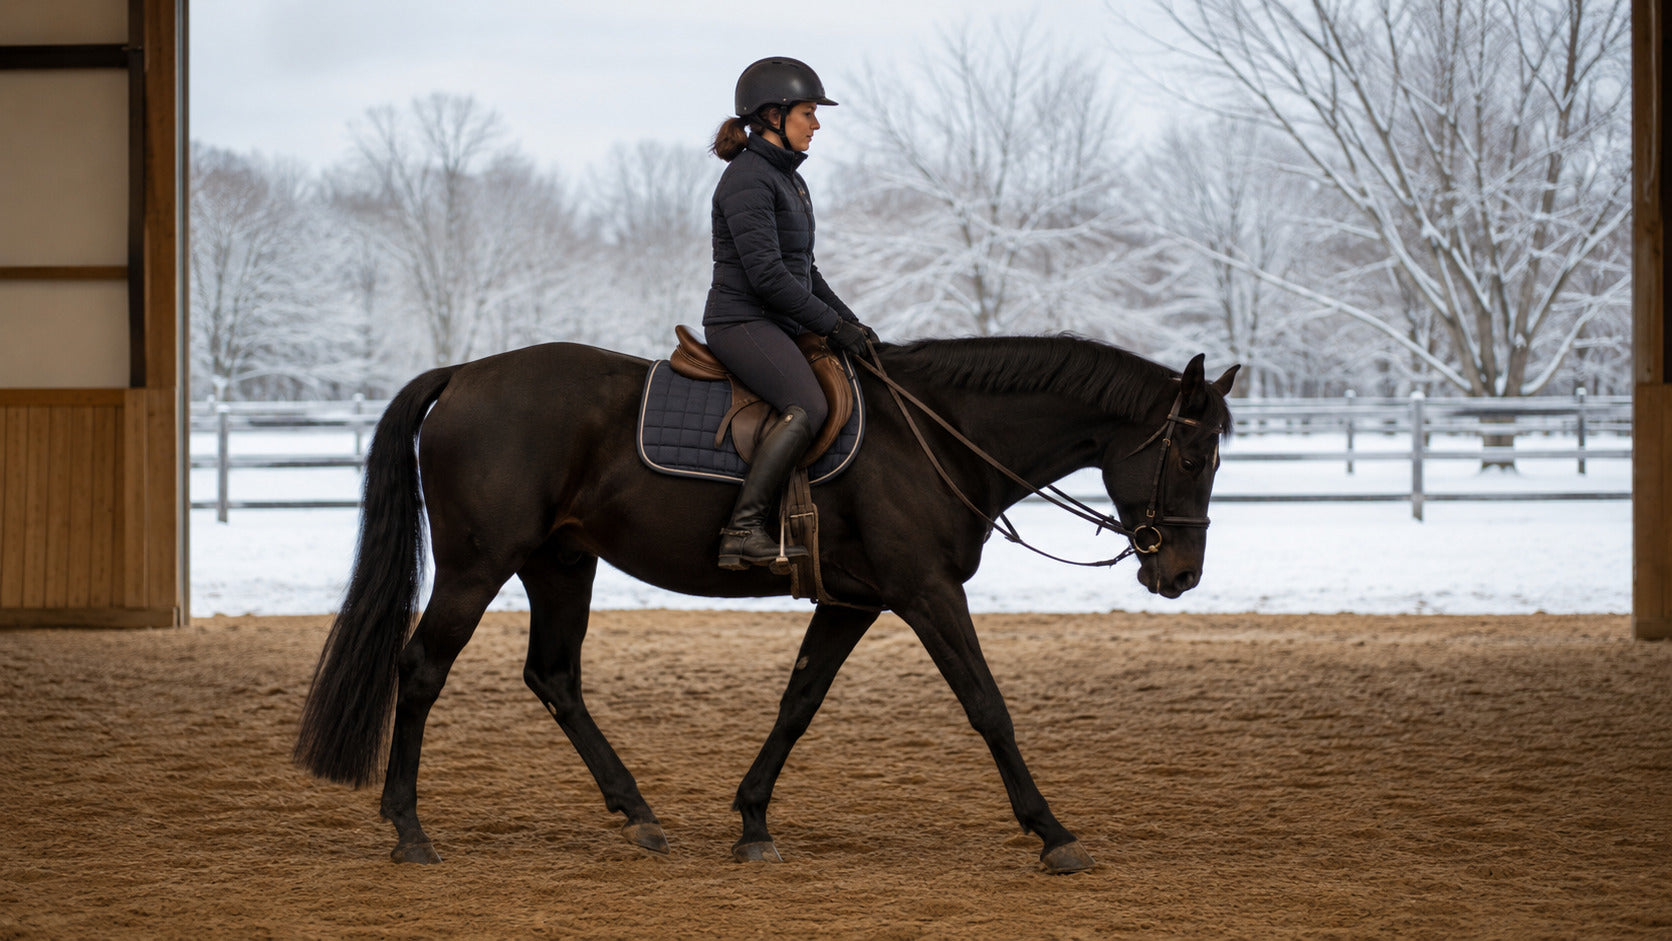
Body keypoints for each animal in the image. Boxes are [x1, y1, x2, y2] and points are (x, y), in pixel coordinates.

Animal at [293, 335, 1238, 873]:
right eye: (1195, 458)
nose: (1181, 574)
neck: (934, 436)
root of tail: (463, 376)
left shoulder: (855, 600)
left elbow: (799, 701)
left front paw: (751, 820)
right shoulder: (926, 591)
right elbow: (987, 705)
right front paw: (1053, 831)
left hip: (561, 563)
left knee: (554, 676)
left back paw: (638, 813)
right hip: (477, 564)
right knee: (422, 668)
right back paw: (410, 829)